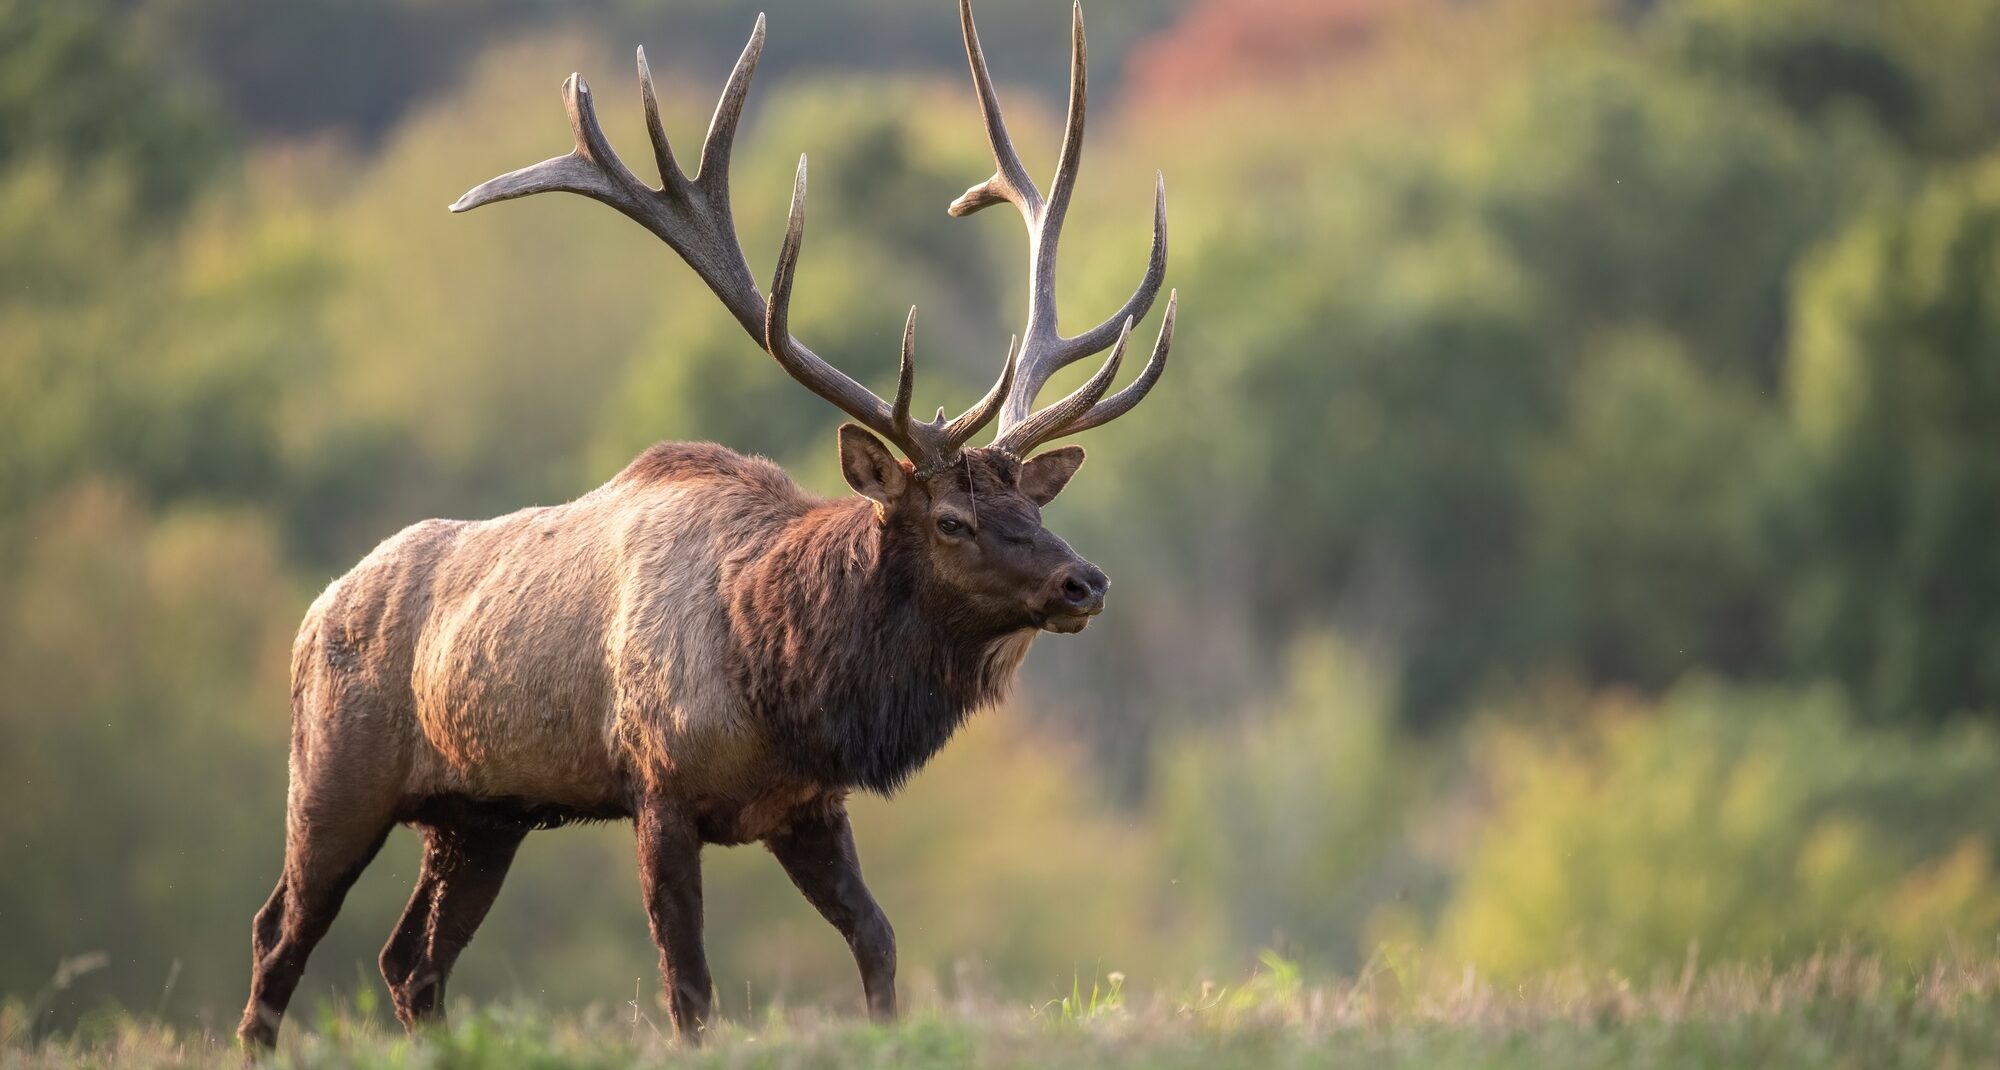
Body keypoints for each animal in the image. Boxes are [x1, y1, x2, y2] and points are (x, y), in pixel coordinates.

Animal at [238, 0, 1173, 1050]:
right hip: (334, 777)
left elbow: (880, 942)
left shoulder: (806, 804)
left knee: (410, 963)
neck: (782, 674)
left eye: (1030, 503)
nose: (1083, 581)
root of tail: (316, 612)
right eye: (951, 520)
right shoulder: (661, 787)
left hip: (480, 812)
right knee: (280, 934)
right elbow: (689, 988)